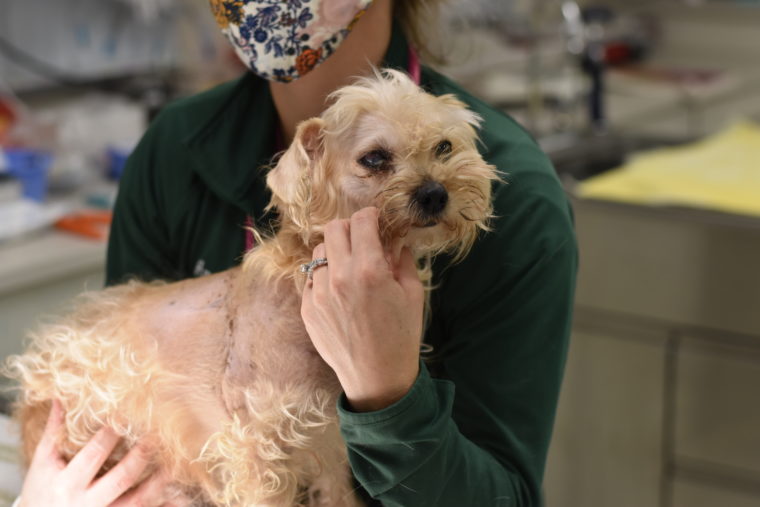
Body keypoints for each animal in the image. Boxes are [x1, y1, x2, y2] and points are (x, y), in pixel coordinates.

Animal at [2, 68, 498, 507]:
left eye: (444, 146)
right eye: (374, 158)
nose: (436, 193)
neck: (299, 295)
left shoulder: (329, 446)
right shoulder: (254, 452)